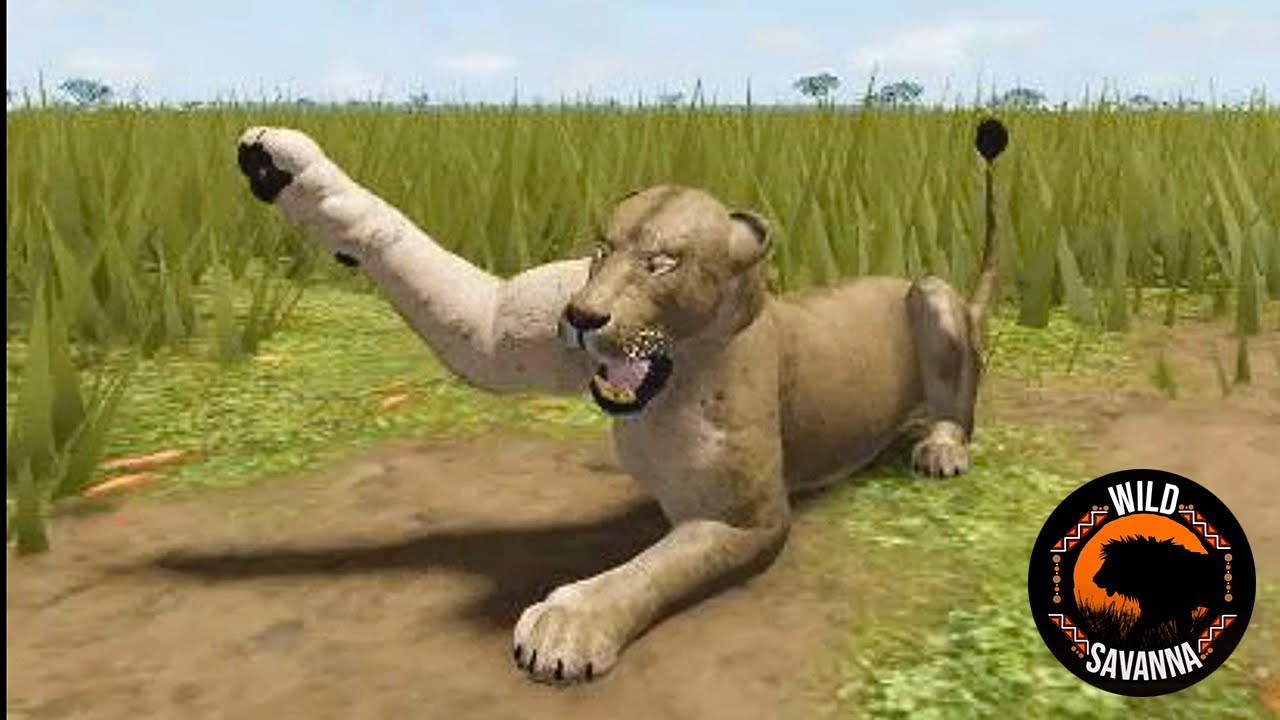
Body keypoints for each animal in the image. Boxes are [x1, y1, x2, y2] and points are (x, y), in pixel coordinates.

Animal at [235, 125, 999, 684]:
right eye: (601, 249)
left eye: (662, 262)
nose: (581, 316)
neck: (670, 382)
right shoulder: (510, 321)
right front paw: (287, 165)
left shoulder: (747, 516)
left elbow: (652, 568)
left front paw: (569, 624)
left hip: (932, 293)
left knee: (957, 400)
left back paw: (940, 447)